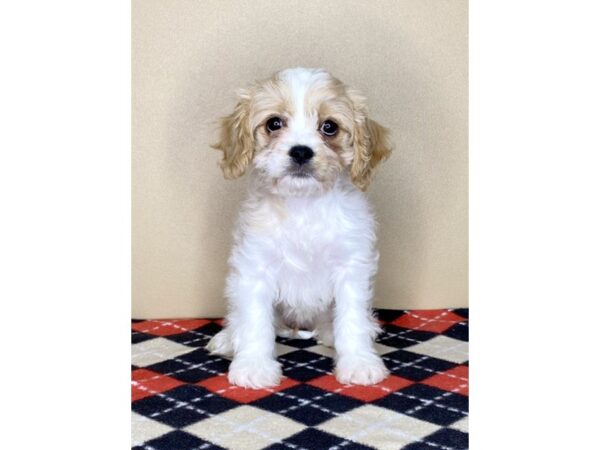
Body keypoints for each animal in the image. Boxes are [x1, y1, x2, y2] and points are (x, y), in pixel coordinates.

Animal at [207, 68, 394, 388]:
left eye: (329, 127)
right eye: (274, 123)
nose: (301, 152)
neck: (303, 204)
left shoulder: (351, 267)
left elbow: (352, 319)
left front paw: (359, 361)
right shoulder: (255, 268)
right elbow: (255, 321)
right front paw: (254, 365)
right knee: (240, 318)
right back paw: (229, 339)